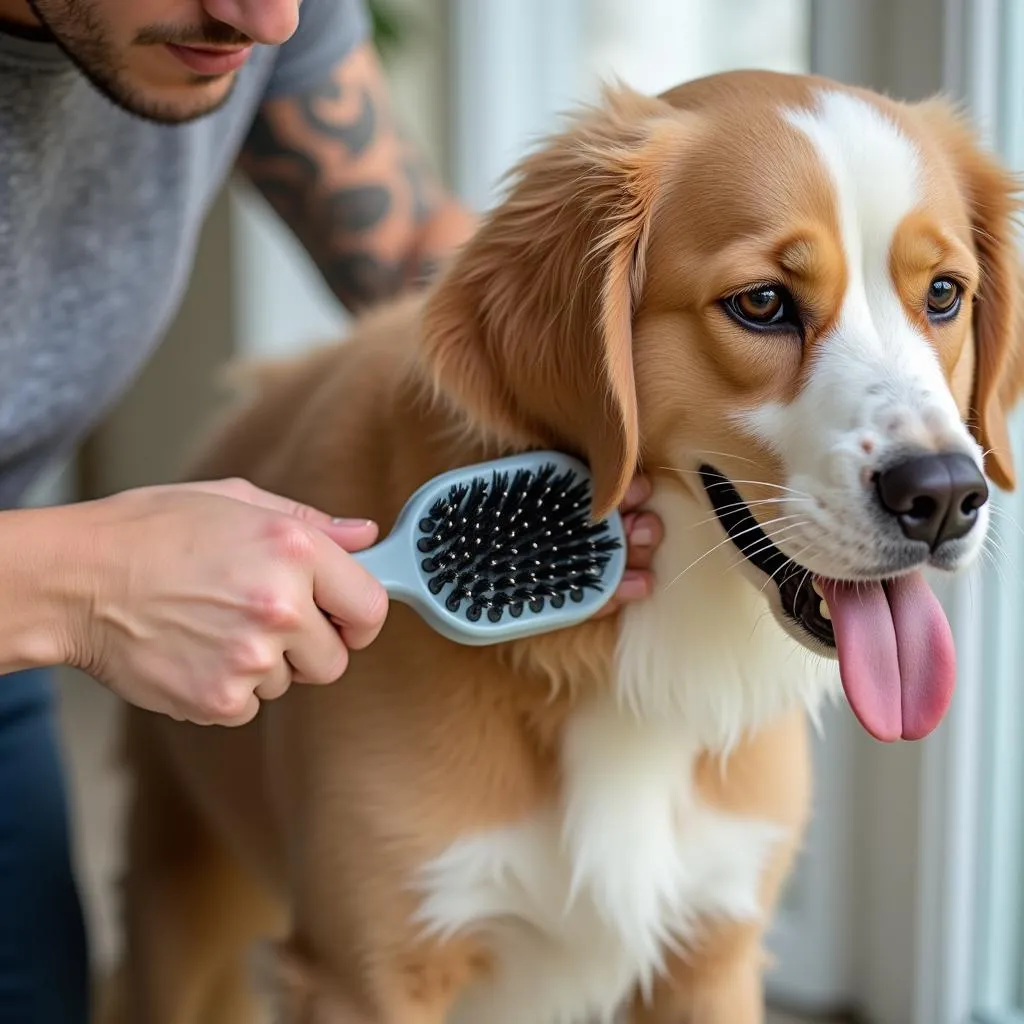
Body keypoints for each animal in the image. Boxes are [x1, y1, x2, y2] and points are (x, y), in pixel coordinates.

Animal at [103, 70, 1024, 1024]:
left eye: (944, 294)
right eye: (763, 303)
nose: (944, 496)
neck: (632, 661)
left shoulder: (715, 952)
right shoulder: (368, 976)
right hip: (181, 916)